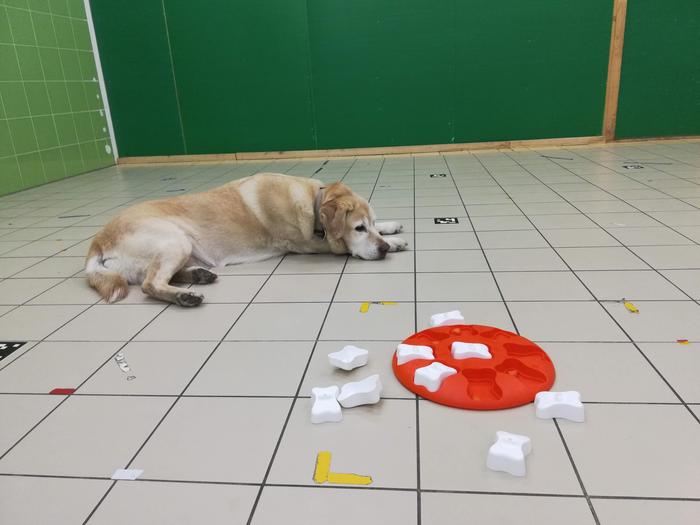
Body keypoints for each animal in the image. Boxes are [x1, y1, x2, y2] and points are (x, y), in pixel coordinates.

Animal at [85, 173, 408, 306]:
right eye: (358, 228)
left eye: (371, 224)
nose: (382, 248)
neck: (314, 202)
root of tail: (98, 240)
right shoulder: (307, 243)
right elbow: (338, 245)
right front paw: (390, 243)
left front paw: (391, 229)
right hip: (174, 241)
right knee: (150, 284)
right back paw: (185, 296)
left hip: (180, 248)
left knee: (161, 276)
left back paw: (198, 276)